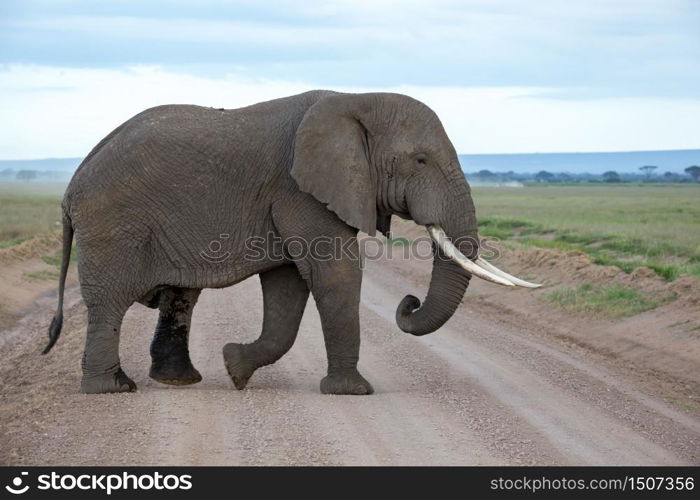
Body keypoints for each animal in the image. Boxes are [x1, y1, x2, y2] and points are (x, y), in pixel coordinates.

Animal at [42, 89, 536, 394]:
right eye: (419, 160)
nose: (408, 302)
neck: (355, 99)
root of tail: (71, 184)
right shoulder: (300, 190)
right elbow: (335, 274)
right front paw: (353, 393)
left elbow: (288, 285)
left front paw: (235, 367)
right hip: (112, 225)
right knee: (110, 302)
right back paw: (113, 389)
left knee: (180, 296)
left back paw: (178, 382)